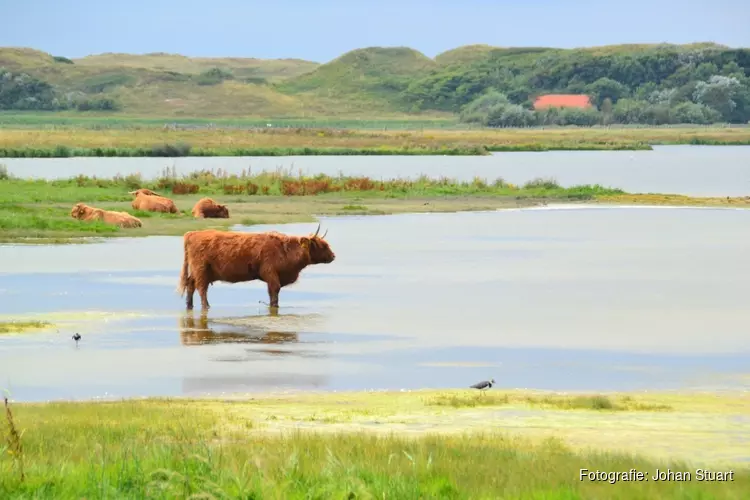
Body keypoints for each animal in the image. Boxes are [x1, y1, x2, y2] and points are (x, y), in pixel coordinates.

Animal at [178, 225, 336, 310]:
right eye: (322, 245)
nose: (333, 256)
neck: (286, 250)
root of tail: (193, 233)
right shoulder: (270, 273)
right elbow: (274, 293)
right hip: (201, 269)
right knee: (201, 288)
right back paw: (206, 307)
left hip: (201, 271)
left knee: (190, 284)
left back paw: (189, 306)